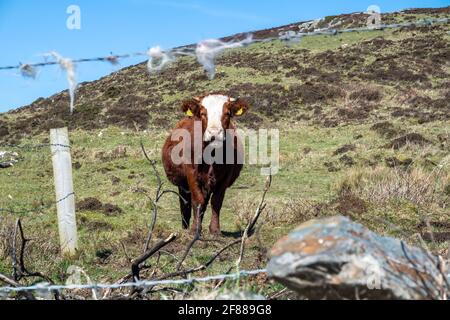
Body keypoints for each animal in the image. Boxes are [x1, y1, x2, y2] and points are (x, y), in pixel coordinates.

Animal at [161, 93, 248, 235]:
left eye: (227, 113)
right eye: (203, 113)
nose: (214, 133)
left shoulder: (226, 177)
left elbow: (216, 201)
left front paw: (215, 230)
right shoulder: (191, 173)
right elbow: (197, 200)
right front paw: (195, 229)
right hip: (183, 185)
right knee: (185, 204)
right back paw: (185, 227)